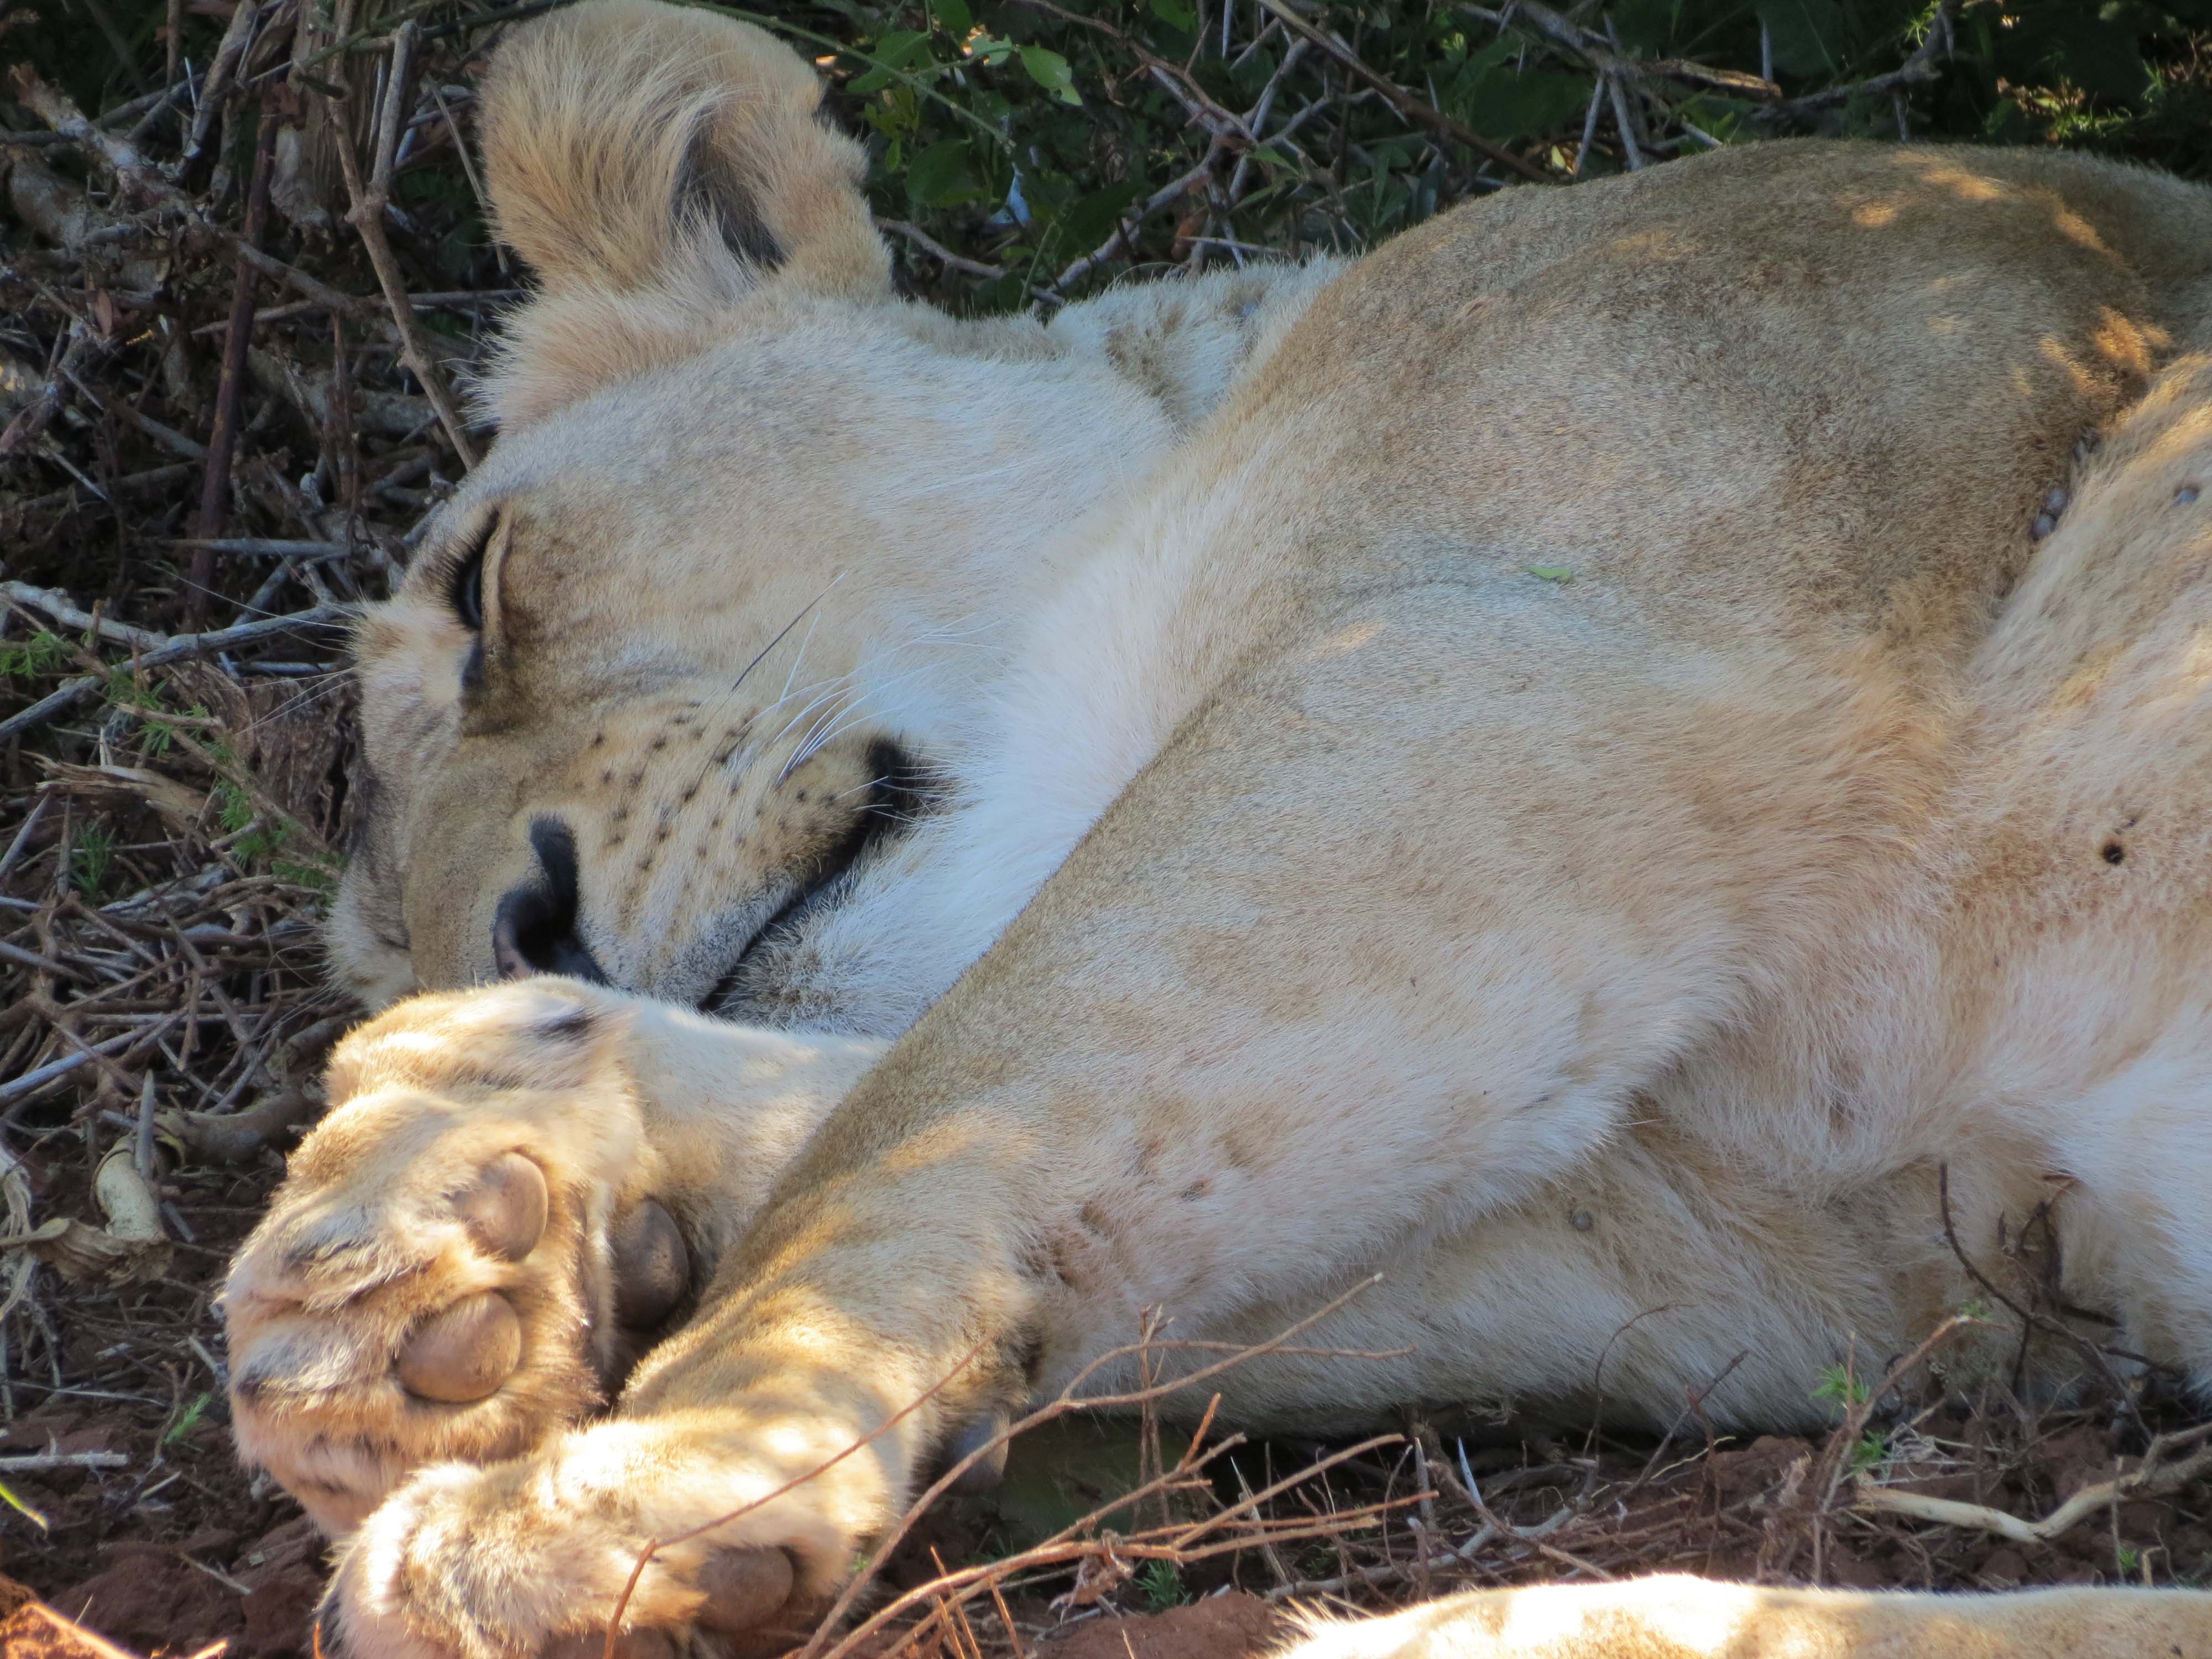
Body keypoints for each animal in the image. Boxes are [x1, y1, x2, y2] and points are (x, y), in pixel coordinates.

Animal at [219, 4, 2212, 1654]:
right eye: (381, 951)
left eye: (484, 591)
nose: (521, 925)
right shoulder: (1856, 1246)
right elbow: (997, 1145)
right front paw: (453, 1205)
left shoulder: (1505, 642)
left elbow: (939, 1108)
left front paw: (637, 1472)